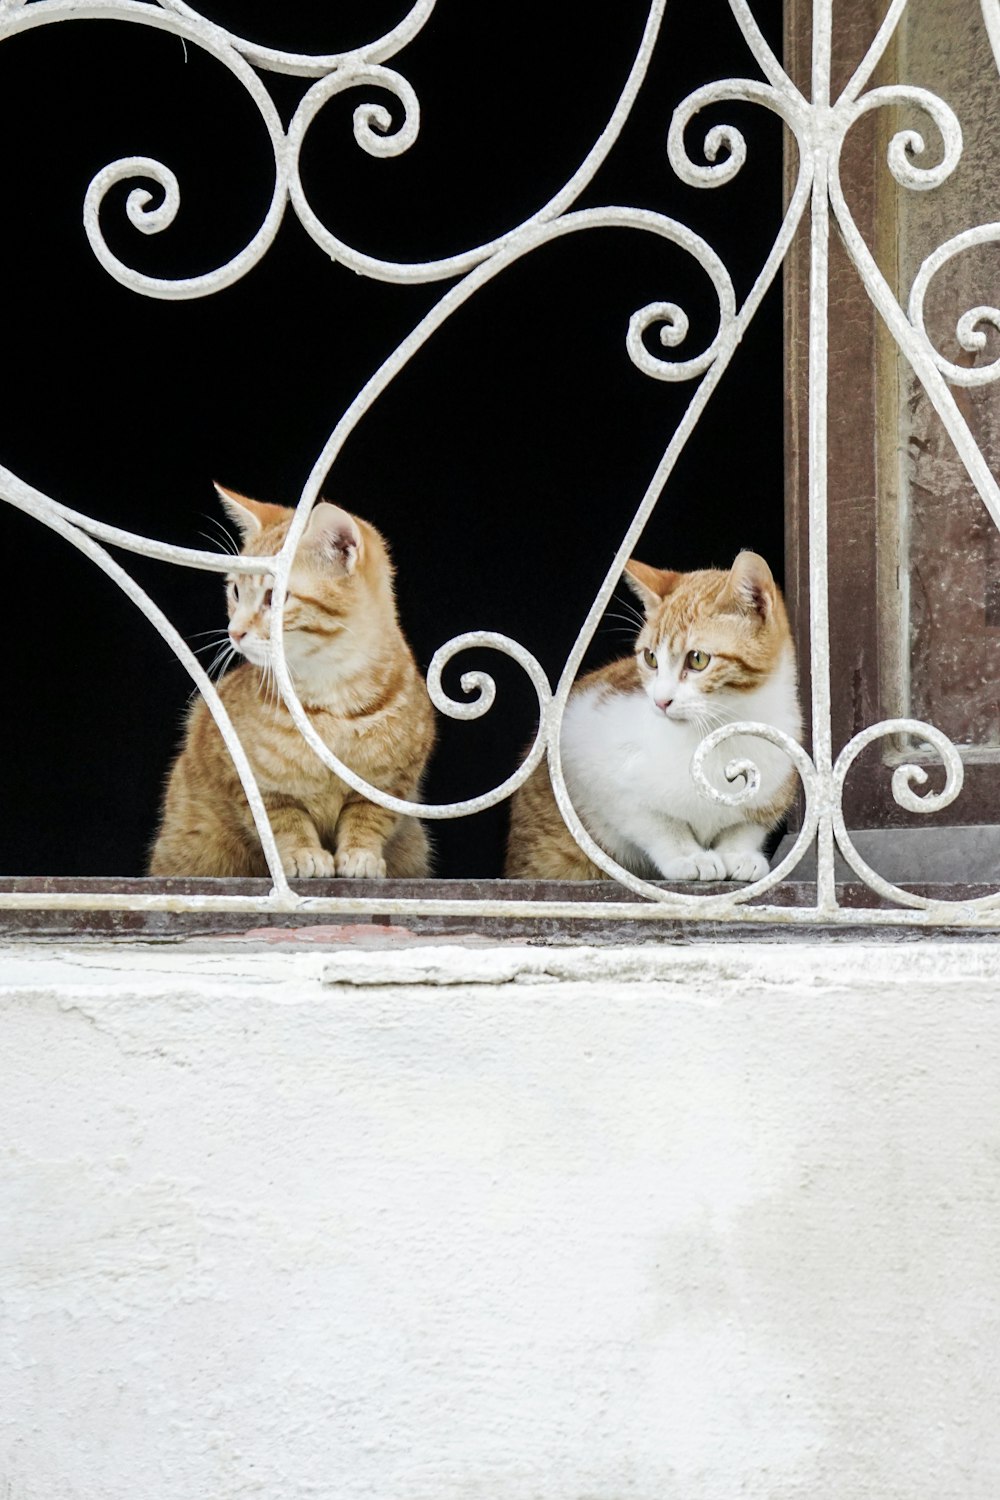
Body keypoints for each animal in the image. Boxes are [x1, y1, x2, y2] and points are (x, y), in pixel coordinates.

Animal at [148, 480, 434, 876]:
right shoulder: (251, 782)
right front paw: (303, 854)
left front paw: (361, 855)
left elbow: (369, 818)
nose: (234, 631)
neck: (332, 698)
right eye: (236, 591)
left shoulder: (391, 783)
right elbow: (283, 821)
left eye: (274, 597)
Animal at [503, 552, 803, 876]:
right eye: (650, 658)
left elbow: (746, 827)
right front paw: (688, 856)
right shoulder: (585, 752)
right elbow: (656, 822)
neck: (720, 730)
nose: (661, 701)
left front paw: (740, 854)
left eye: (698, 659)